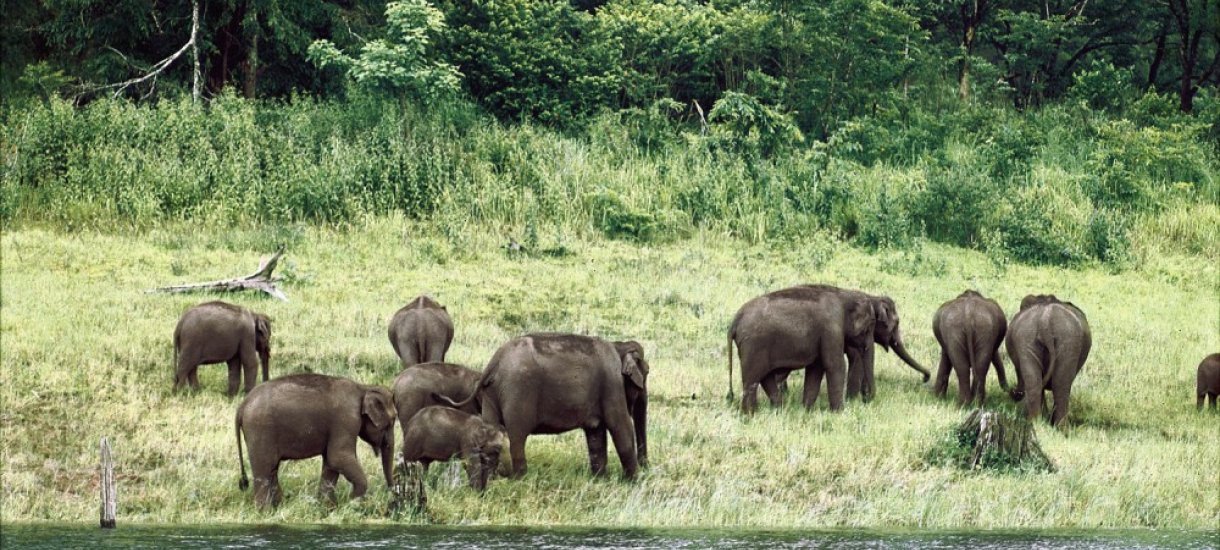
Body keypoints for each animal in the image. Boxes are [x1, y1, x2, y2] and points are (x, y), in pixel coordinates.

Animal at [233, 373, 395, 509]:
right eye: (392, 422)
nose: (391, 497)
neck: (364, 388)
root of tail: (242, 405)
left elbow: (331, 462)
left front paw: (327, 508)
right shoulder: (346, 420)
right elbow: (338, 457)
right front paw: (351, 503)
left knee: (272, 469)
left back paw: (278, 506)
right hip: (260, 430)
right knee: (265, 469)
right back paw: (264, 512)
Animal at [439, 334, 649, 480]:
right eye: (646, 372)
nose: (647, 469)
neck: (619, 345)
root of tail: (494, 361)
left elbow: (595, 433)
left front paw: (599, 480)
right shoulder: (613, 385)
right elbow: (621, 427)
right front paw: (632, 482)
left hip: (491, 394)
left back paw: (492, 478)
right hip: (518, 393)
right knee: (517, 436)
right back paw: (520, 478)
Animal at [727, 284, 927, 414]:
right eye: (869, 326)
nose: (867, 399)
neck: (847, 295)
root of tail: (734, 321)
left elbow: (816, 369)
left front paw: (807, 410)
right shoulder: (832, 328)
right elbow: (836, 365)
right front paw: (840, 412)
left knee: (765, 378)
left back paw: (779, 410)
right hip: (753, 346)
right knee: (752, 379)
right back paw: (750, 415)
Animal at [1005, 295, 1093, 429]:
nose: (1012, 391)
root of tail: (1045, 321)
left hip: (1040, 338)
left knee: (1045, 382)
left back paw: (1040, 423)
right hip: (1056, 339)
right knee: (1058, 383)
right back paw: (1050, 425)